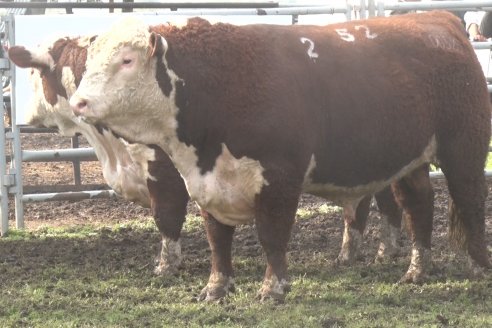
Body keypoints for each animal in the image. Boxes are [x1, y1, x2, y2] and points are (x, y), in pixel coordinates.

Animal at [70, 10, 492, 302]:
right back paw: (417, 271)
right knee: (418, 205)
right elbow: (217, 240)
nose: (78, 102)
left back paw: (477, 266)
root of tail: (437, 19)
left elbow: (272, 235)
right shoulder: (206, 182)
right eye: (91, 61)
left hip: (465, 148)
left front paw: (273, 288)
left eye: (126, 60)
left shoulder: (279, 178)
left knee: (470, 202)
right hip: (412, 160)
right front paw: (216, 289)